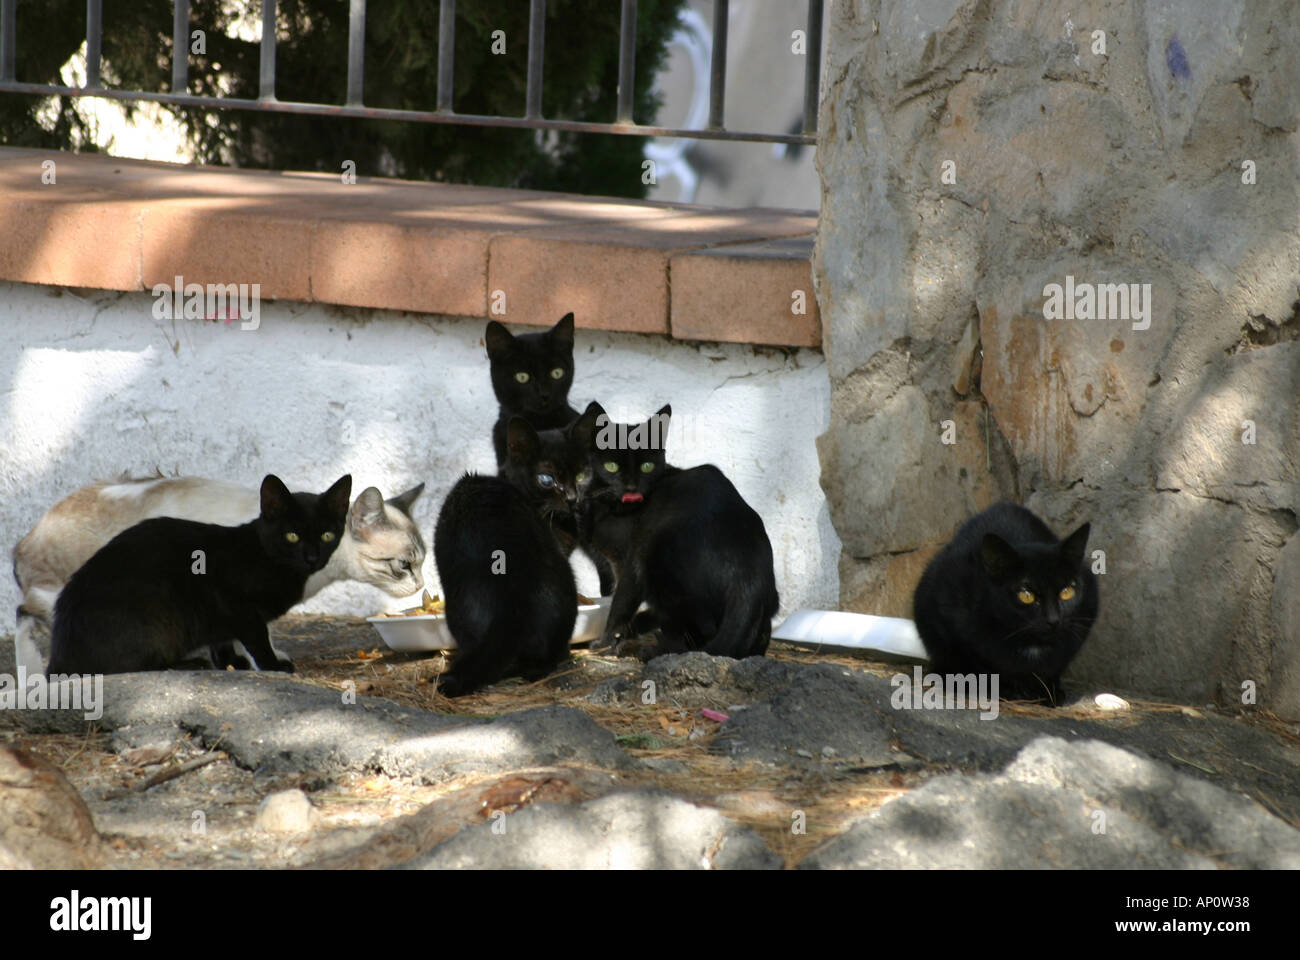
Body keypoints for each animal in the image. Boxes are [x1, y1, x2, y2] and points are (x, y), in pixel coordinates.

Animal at [11, 473, 426, 671]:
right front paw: (262, 664)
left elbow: (237, 638)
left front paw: (238, 664)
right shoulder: (228, 598)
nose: (422, 585)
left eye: (422, 561)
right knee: (24, 617)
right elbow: (252, 636)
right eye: (403, 565)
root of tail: (23, 540)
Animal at [574, 403, 774, 658]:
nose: (631, 487)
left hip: (656, 553)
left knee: (700, 629)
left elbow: (621, 602)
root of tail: (748, 573)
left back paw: (655, 650)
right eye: (612, 466)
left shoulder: (630, 561)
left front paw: (606, 642)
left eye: (647, 466)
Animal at [915, 502, 1097, 702]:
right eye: (1026, 595)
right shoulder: (948, 611)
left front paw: (1050, 691)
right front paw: (1006, 688)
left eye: (1066, 592)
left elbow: (1055, 666)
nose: (1053, 620)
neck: (1031, 645)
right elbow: (976, 661)